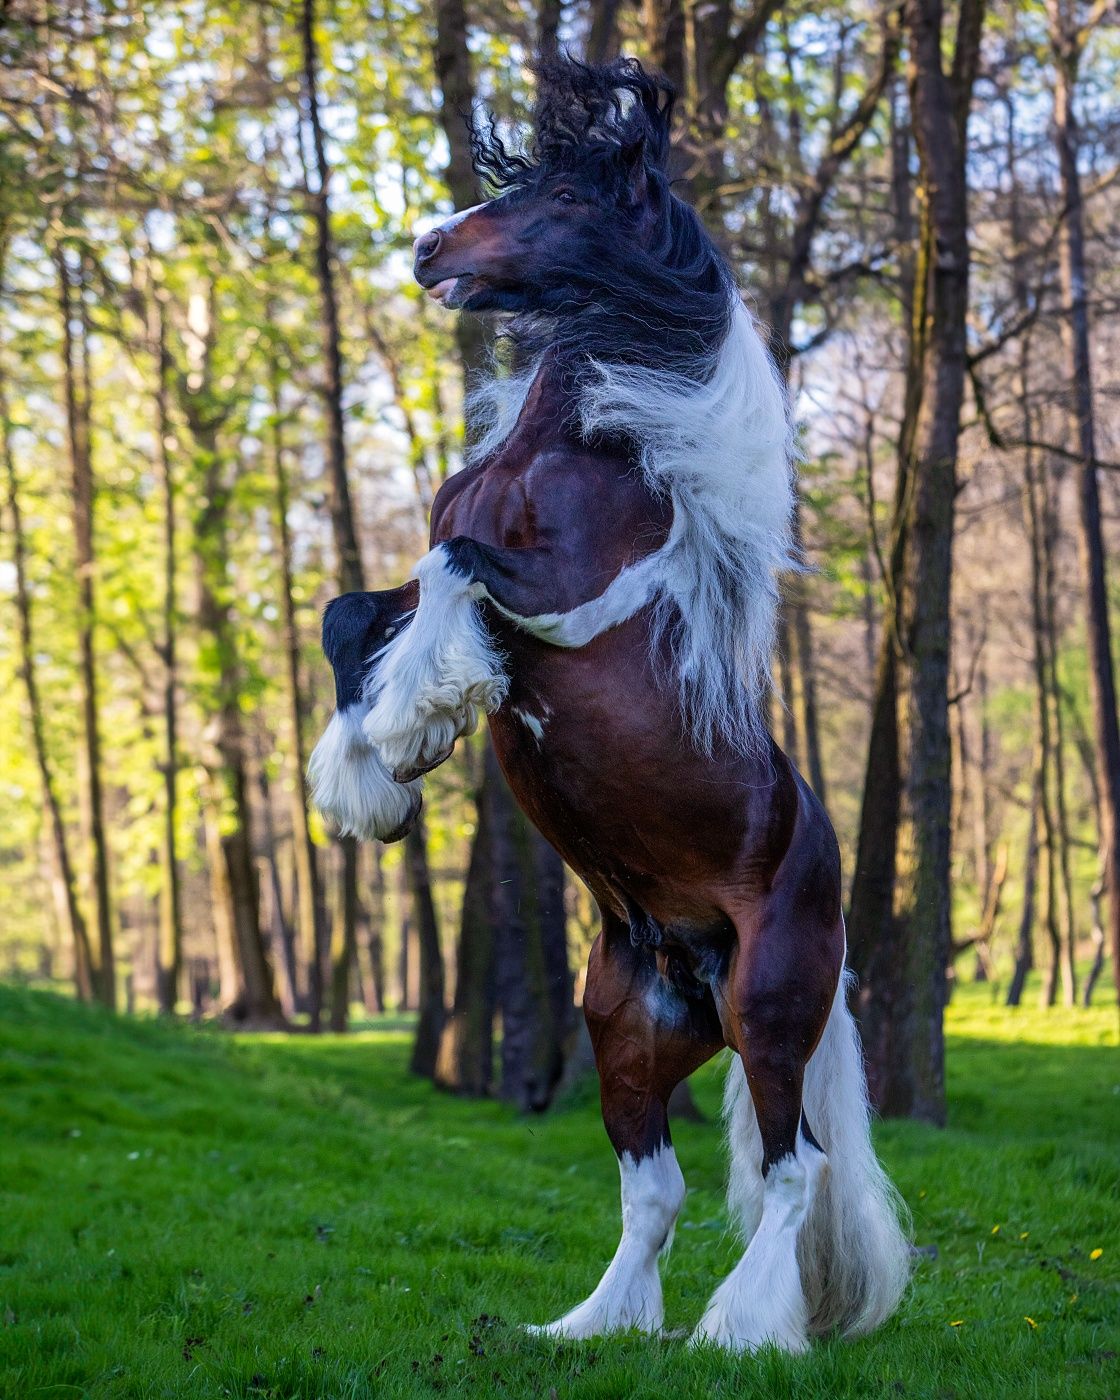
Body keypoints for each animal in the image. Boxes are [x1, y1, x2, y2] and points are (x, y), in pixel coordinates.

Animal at [308, 57, 907, 1355]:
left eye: (569, 196)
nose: (429, 246)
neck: (589, 450)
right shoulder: (449, 579)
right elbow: (351, 605)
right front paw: (365, 782)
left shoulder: (569, 605)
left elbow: (450, 567)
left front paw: (419, 717)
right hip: (627, 1025)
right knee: (657, 1187)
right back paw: (588, 1327)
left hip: (768, 1008)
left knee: (792, 1167)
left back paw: (742, 1332)